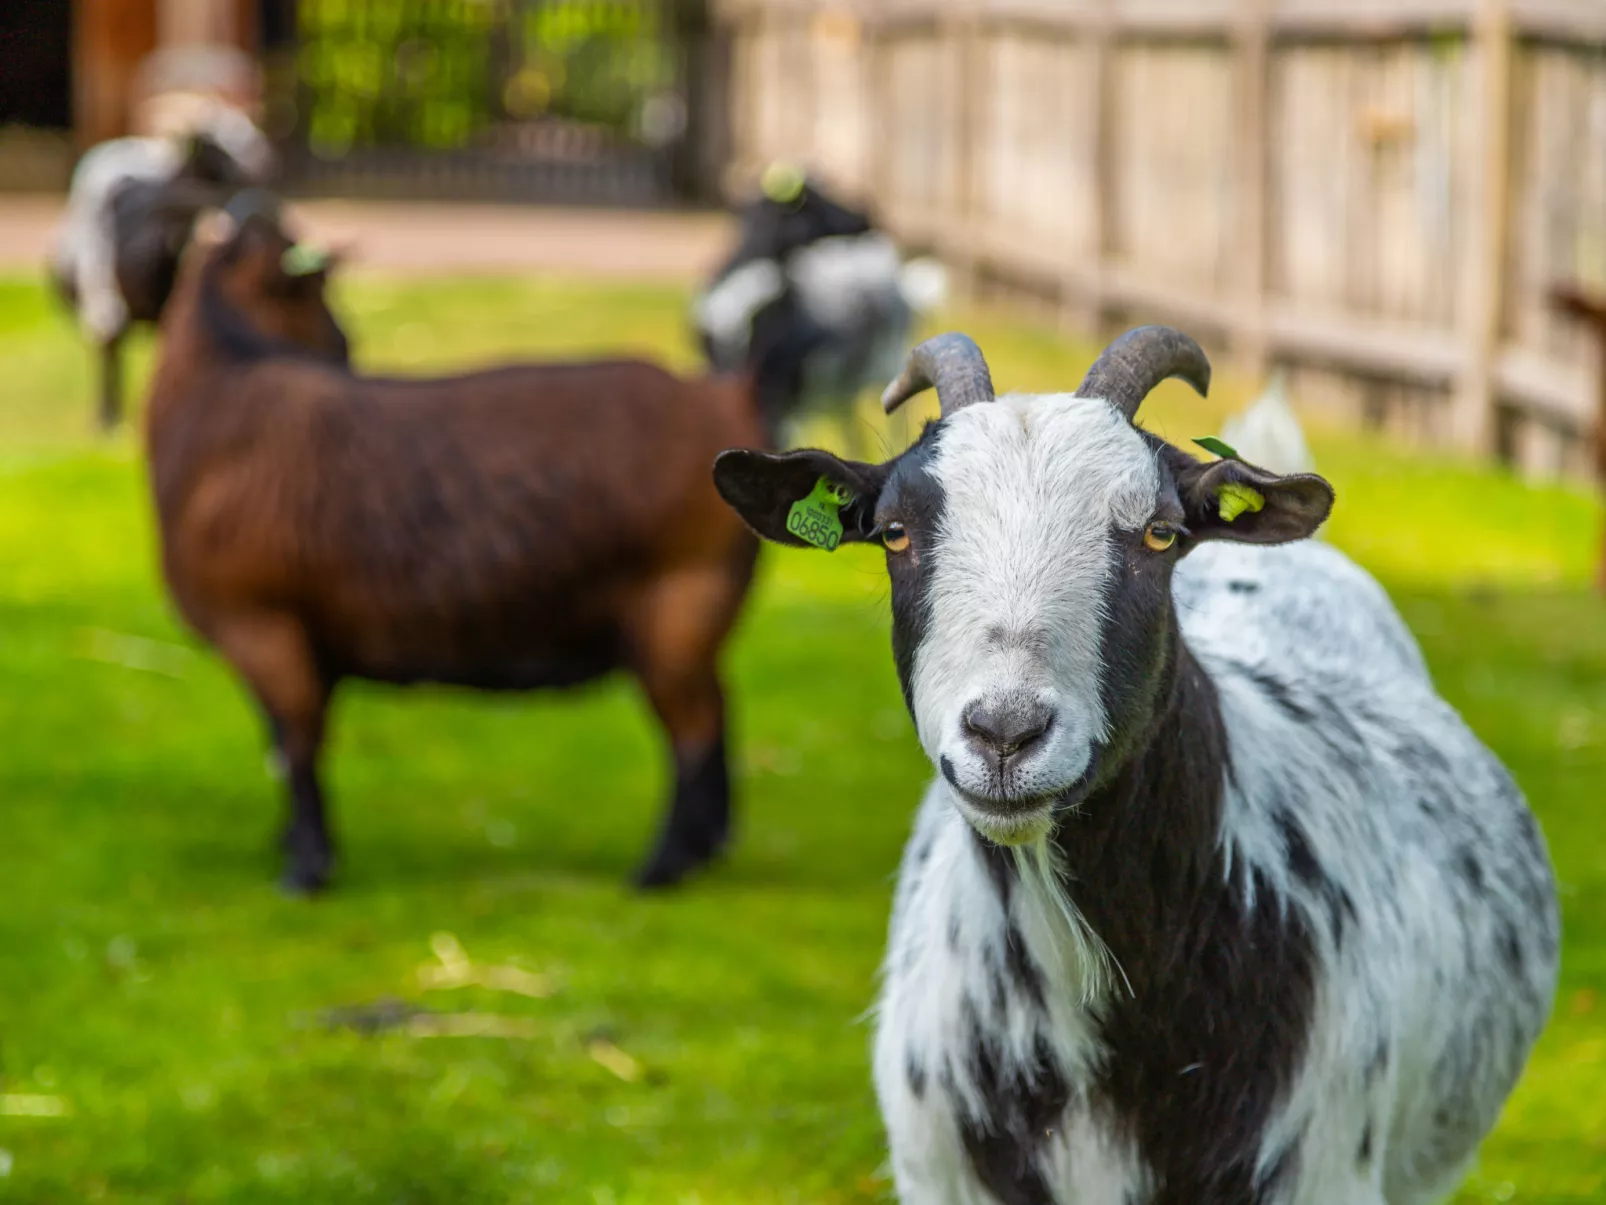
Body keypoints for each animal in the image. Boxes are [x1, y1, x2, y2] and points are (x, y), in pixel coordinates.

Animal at [144, 207, 809, 893]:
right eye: (311, 288)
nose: (344, 347)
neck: (219, 396)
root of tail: (732, 393)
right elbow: (281, 742)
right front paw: (290, 848)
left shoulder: (264, 625)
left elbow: (299, 745)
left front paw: (306, 870)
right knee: (718, 710)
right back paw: (708, 848)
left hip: (679, 600)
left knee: (695, 727)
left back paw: (662, 866)